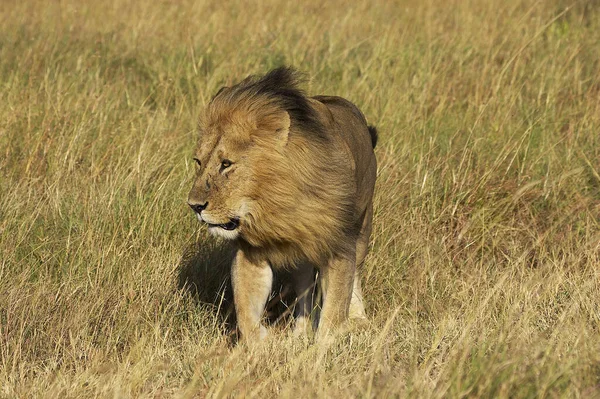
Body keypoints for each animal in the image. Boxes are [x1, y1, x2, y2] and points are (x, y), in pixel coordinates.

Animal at [188, 67, 378, 342]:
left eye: (226, 164)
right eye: (198, 162)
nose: (194, 206)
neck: (275, 205)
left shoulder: (340, 247)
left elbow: (333, 313)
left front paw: (324, 347)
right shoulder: (251, 252)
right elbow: (246, 312)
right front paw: (261, 345)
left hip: (362, 231)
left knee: (355, 276)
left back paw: (358, 319)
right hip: (299, 258)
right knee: (304, 292)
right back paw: (299, 333)